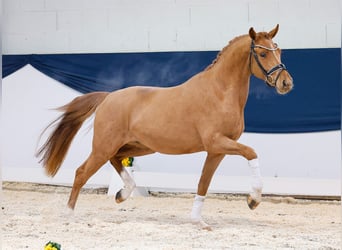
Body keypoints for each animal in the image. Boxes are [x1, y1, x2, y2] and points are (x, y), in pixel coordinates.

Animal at [37, 24, 294, 229]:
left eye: (279, 50)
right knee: (82, 172)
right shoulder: (217, 142)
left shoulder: (216, 150)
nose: (286, 83)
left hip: (138, 146)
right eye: (262, 52)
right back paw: (69, 214)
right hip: (104, 146)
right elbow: (251, 153)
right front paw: (253, 200)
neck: (219, 92)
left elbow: (203, 183)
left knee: (116, 160)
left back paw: (122, 194)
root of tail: (108, 97)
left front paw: (199, 221)